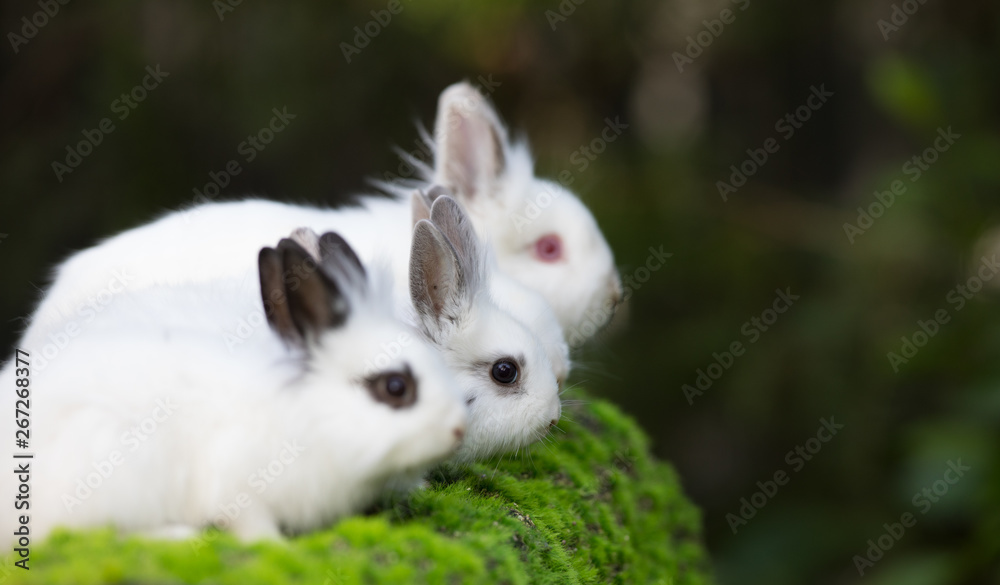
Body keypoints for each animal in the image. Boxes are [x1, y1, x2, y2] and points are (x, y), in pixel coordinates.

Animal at [0, 233, 467, 545]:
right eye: (395, 386)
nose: (459, 430)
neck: (309, 413)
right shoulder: (237, 485)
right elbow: (249, 524)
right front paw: (273, 546)